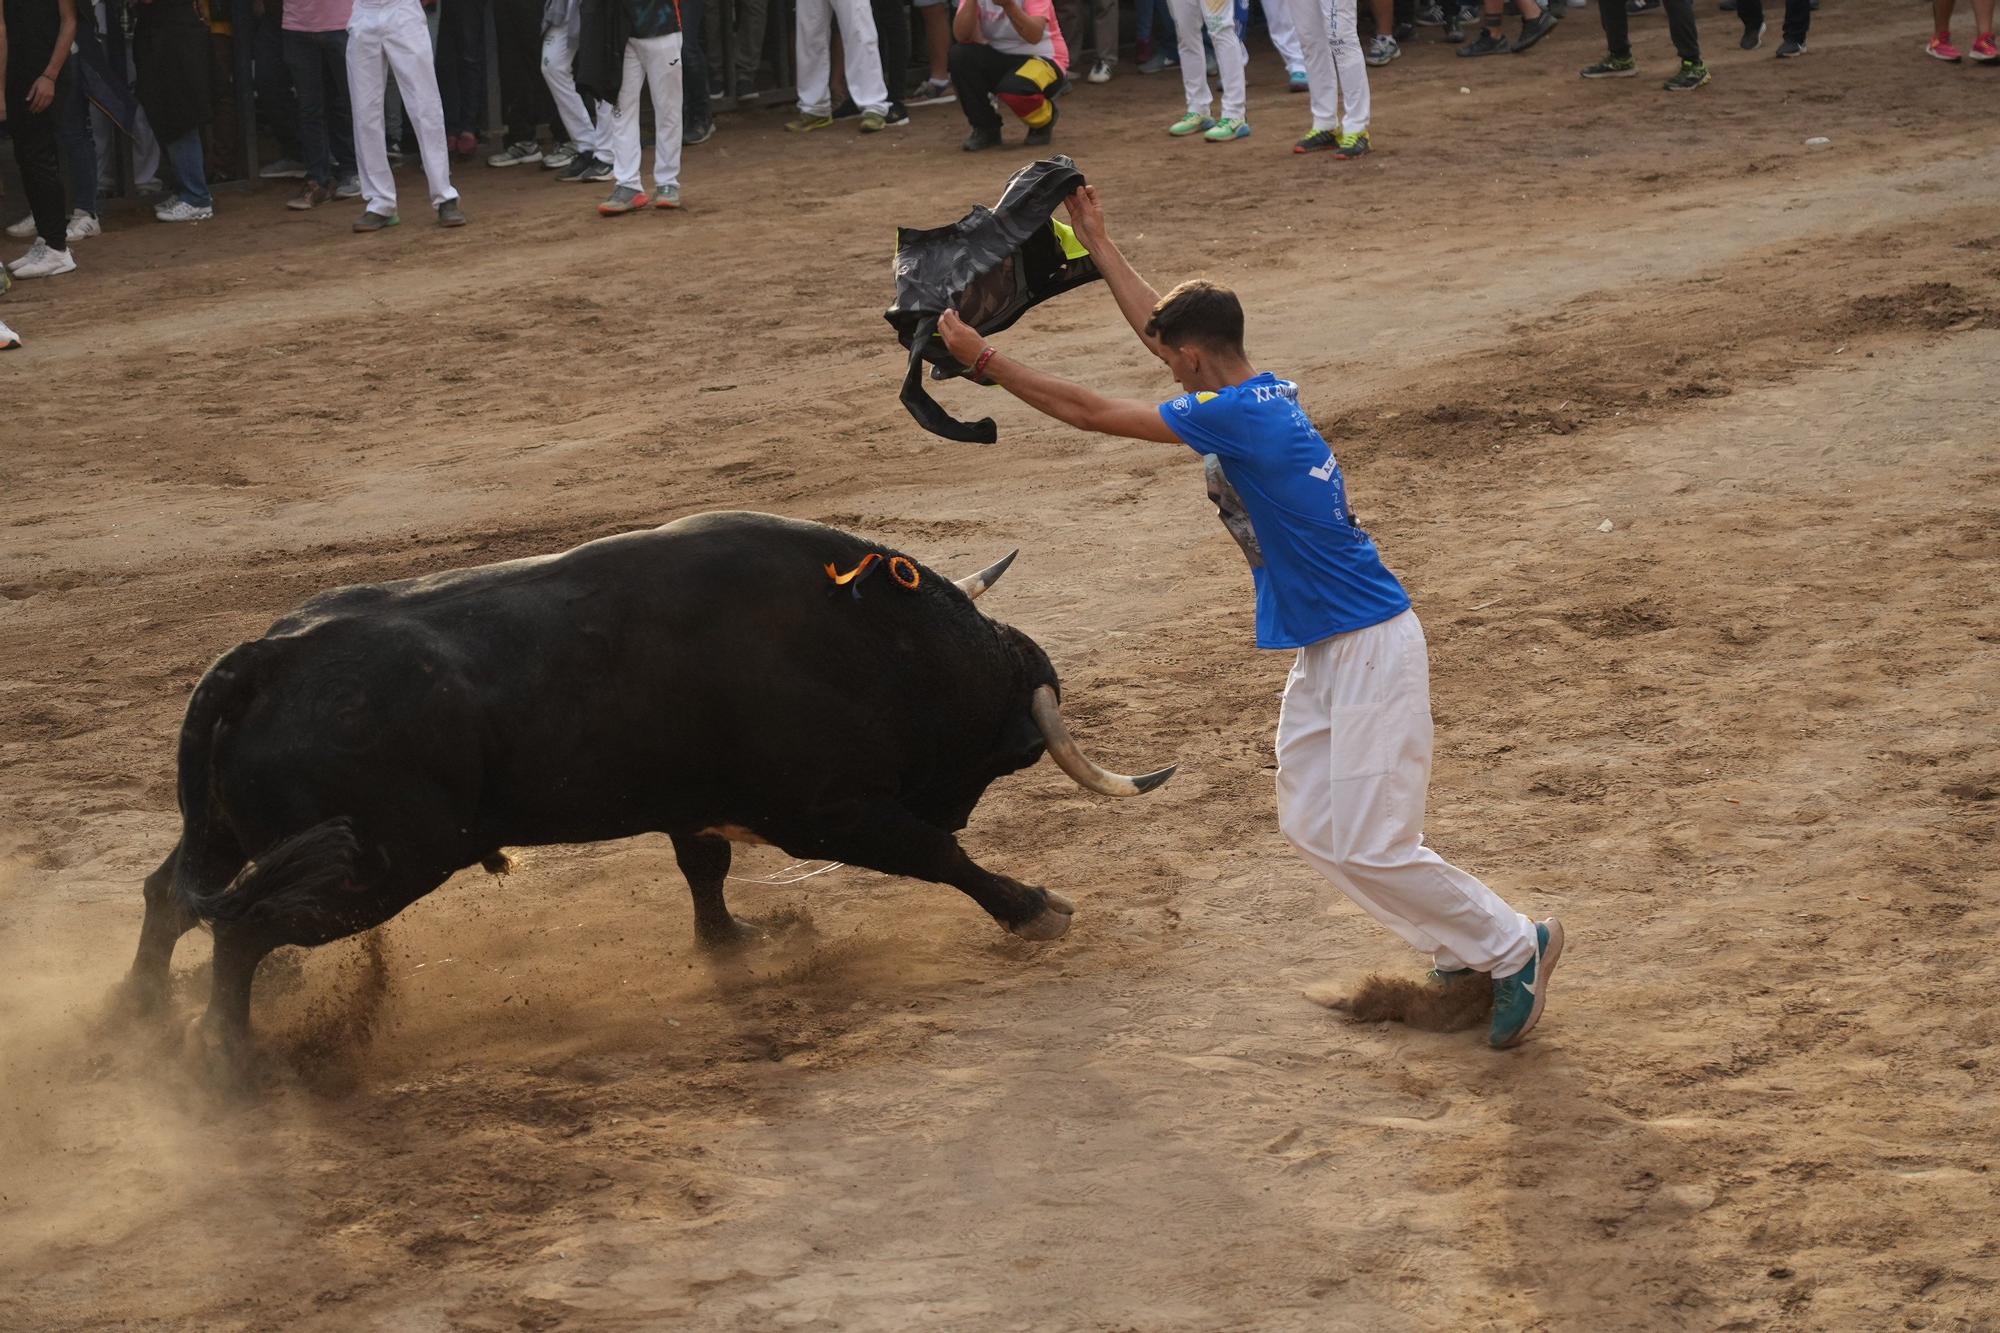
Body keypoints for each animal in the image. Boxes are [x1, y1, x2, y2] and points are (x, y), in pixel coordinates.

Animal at [125, 510, 1176, 1056]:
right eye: (1007, 758)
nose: (952, 796)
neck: (878, 644)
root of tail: (262, 657)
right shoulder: (824, 813)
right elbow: (935, 855)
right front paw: (1035, 906)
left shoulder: (702, 804)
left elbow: (705, 873)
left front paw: (743, 939)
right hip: (378, 864)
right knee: (245, 928)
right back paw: (227, 1063)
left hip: (245, 837)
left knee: (170, 896)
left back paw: (134, 1017)